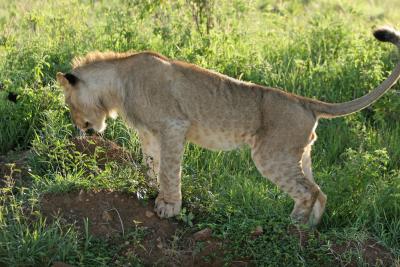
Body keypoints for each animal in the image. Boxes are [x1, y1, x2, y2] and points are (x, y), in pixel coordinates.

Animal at [56, 26, 400, 226]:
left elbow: (169, 170)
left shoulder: (173, 125)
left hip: (270, 155)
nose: (80, 127)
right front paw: (147, 189)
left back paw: (292, 226)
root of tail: (305, 102)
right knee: (320, 191)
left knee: (308, 191)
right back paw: (311, 228)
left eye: (69, 104)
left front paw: (169, 206)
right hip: (298, 154)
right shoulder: (150, 133)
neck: (117, 84)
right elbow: (151, 164)